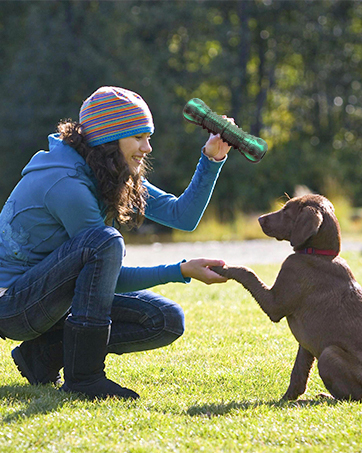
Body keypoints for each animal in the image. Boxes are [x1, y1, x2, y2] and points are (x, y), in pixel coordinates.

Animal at [214, 193, 362, 400]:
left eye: (286, 210)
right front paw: (287, 398)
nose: (259, 219)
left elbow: (247, 272)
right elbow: (299, 371)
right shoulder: (306, 342)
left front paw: (222, 268)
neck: (319, 254)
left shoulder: (274, 304)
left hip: (328, 354)